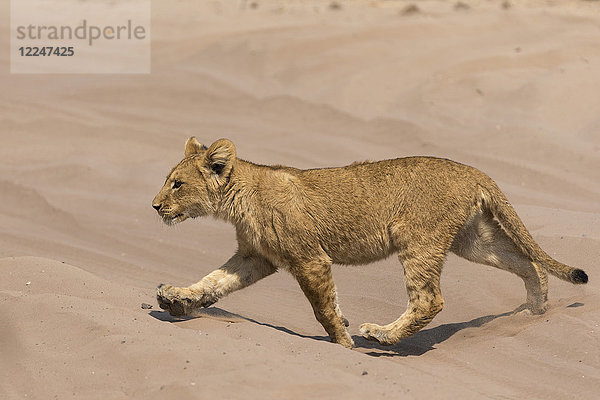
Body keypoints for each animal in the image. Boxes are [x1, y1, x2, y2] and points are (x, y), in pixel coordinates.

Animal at [152, 137, 588, 346]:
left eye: (177, 184)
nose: (154, 206)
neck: (238, 197)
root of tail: (472, 170)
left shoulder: (309, 258)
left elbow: (323, 308)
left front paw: (343, 343)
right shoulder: (256, 258)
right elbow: (213, 281)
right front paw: (177, 297)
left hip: (417, 239)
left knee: (430, 300)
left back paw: (381, 334)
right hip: (473, 240)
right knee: (527, 263)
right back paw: (535, 308)